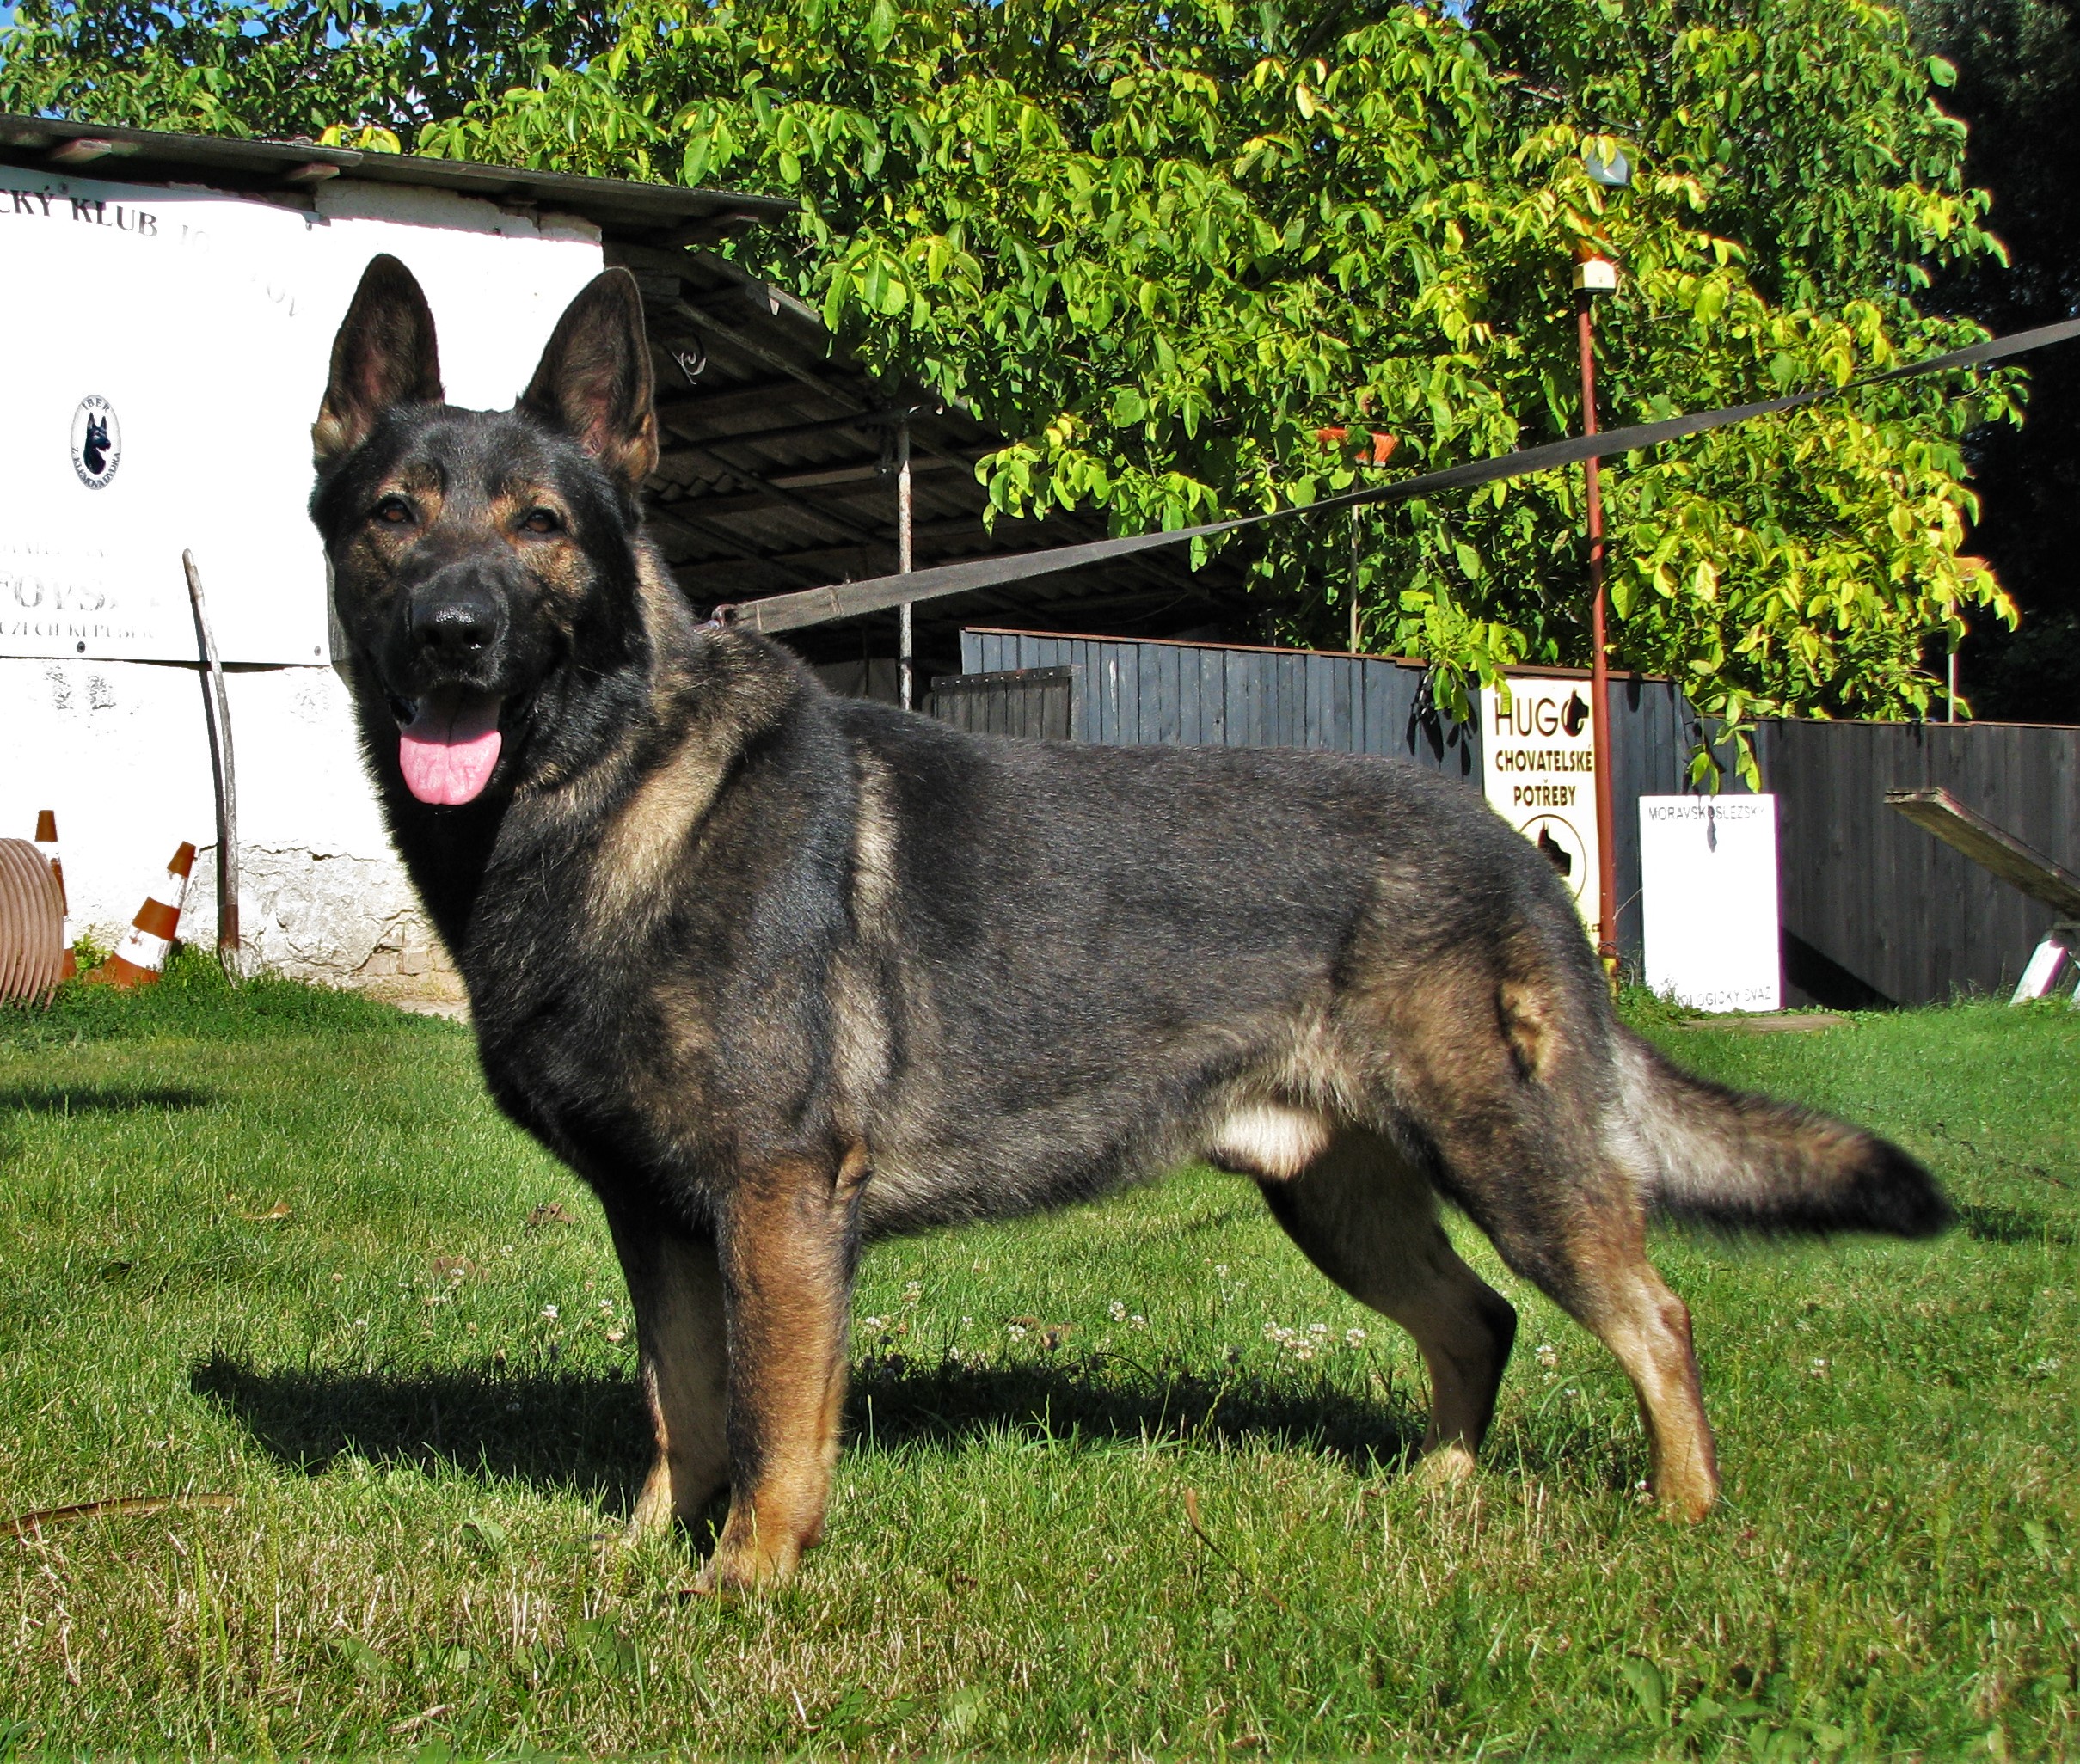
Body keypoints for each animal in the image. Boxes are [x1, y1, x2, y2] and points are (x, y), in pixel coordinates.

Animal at [309, 255, 1950, 1591]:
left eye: (539, 529)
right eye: (394, 518)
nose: (454, 635)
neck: (610, 786)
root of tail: (1516, 850)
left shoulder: (774, 1204)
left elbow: (773, 1422)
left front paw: (745, 1583)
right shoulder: (655, 1217)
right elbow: (680, 1409)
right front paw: (646, 1555)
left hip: (1507, 1163)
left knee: (1652, 1317)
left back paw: (1680, 1517)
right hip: (1338, 1200)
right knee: (1476, 1323)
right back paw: (1437, 1495)